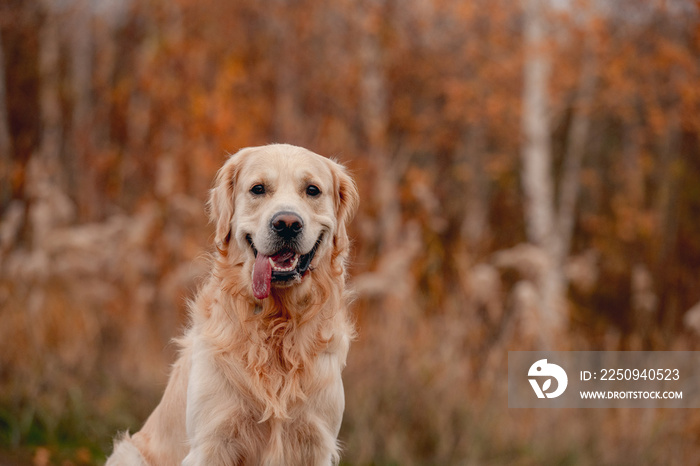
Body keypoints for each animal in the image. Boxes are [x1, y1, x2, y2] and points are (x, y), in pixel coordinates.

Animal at [106, 144, 358, 464]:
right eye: (258, 189)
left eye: (312, 190)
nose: (287, 224)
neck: (276, 323)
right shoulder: (212, 441)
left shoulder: (316, 442)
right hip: (128, 453)